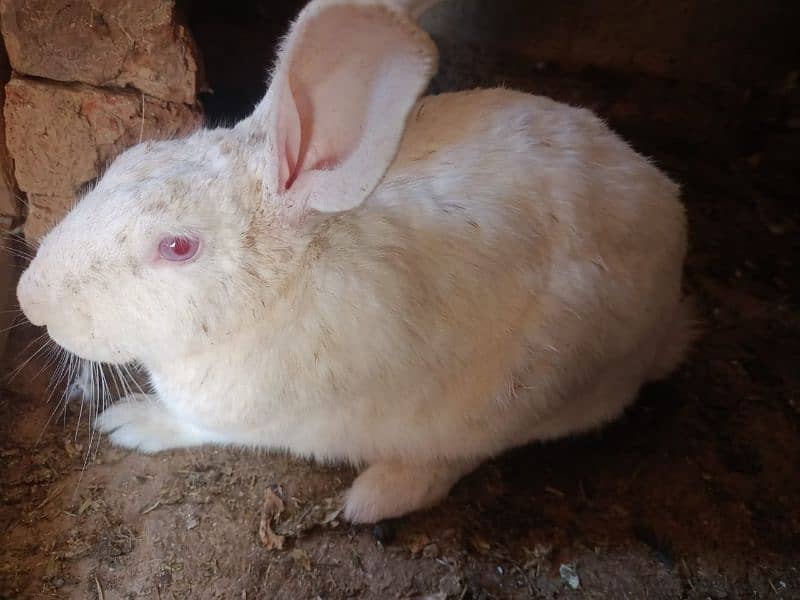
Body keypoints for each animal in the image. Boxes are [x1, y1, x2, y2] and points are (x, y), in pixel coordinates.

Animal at [15, 0, 692, 520]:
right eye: (128, 161)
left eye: (178, 247)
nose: (30, 298)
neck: (283, 287)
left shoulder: (236, 415)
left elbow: (191, 426)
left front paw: (131, 422)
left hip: (520, 393)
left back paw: (373, 499)